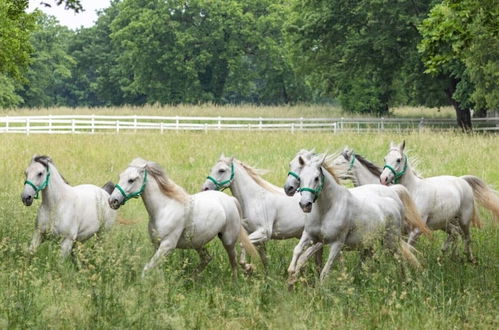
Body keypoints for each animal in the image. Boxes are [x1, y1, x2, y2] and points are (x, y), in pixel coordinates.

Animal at [108, 159, 258, 278]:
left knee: (233, 261)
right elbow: (156, 269)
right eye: (120, 176)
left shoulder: (167, 245)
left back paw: (238, 278)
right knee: (207, 258)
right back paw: (192, 279)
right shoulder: (157, 245)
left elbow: (146, 268)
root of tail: (230, 199)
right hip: (198, 242)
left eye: (131, 180)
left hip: (228, 239)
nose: (113, 201)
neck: (163, 208)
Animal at [286, 152, 426, 284]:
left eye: (316, 178)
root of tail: (395, 200)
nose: (305, 204)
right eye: (300, 178)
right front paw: (291, 274)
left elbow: (325, 271)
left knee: (400, 256)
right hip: (373, 241)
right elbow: (297, 251)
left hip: (390, 241)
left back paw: (406, 280)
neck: (327, 210)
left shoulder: (336, 243)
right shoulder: (310, 236)